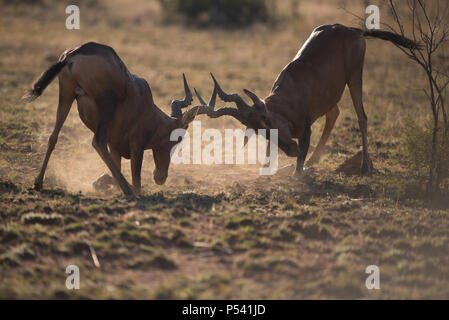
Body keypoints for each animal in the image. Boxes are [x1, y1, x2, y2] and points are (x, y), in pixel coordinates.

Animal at [22, 41, 198, 199]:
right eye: (178, 138)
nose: (160, 177)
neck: (144, 100)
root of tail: (75, 52)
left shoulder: (114, 147)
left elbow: (114, 171)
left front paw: (98, 183)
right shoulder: (136, 146)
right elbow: (137, 182)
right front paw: (126, 188)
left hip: (66, 95)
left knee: (53, 137)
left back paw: (38, 183)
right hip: (107, 104)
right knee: (97, 141)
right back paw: (127, 190)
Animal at [193, 24, 420, 176]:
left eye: (266, 121)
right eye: (258, 130)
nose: (291, 150)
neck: (289, 93)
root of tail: (353, 30)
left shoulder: (307, 126)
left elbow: (300, 163)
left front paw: (298, 170)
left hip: (355, 76)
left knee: (361, 116)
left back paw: (365, 166)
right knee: (334, 113)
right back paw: (315, 160)